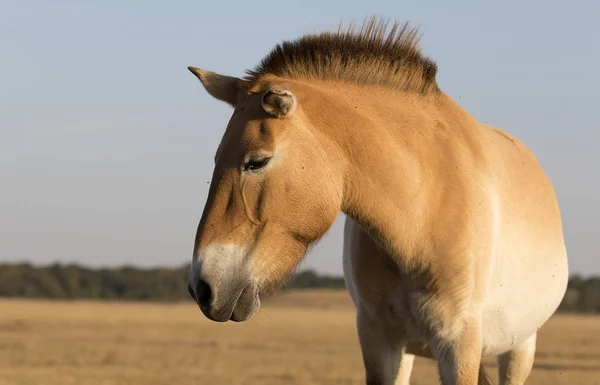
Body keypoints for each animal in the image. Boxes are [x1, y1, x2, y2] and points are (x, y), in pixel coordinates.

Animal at [185, 18, 568, 384]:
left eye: (257, 162)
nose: (202, 288)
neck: (422, 216)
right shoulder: (379, 341)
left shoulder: (458, 346)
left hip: (520, 348)